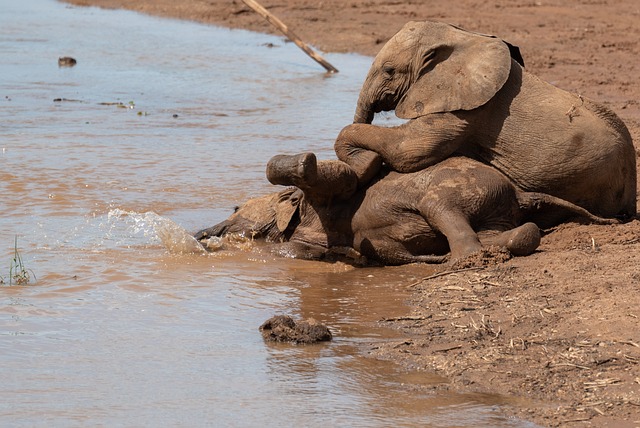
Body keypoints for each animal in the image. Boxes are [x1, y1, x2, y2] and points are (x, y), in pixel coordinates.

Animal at [195, 152, 616, 266]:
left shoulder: (326, 197)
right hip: (496, 209)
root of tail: (517, 190)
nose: (200, 234)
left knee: (445, 213)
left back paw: (457, 262)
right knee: (503, 233)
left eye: (235, 208)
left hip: (452, 189)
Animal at [336, 21, 636, 219]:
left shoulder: (471, 109)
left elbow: (410, 150)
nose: (368, 167)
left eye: (389, 70)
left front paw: (369, 161)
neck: (464, 37)